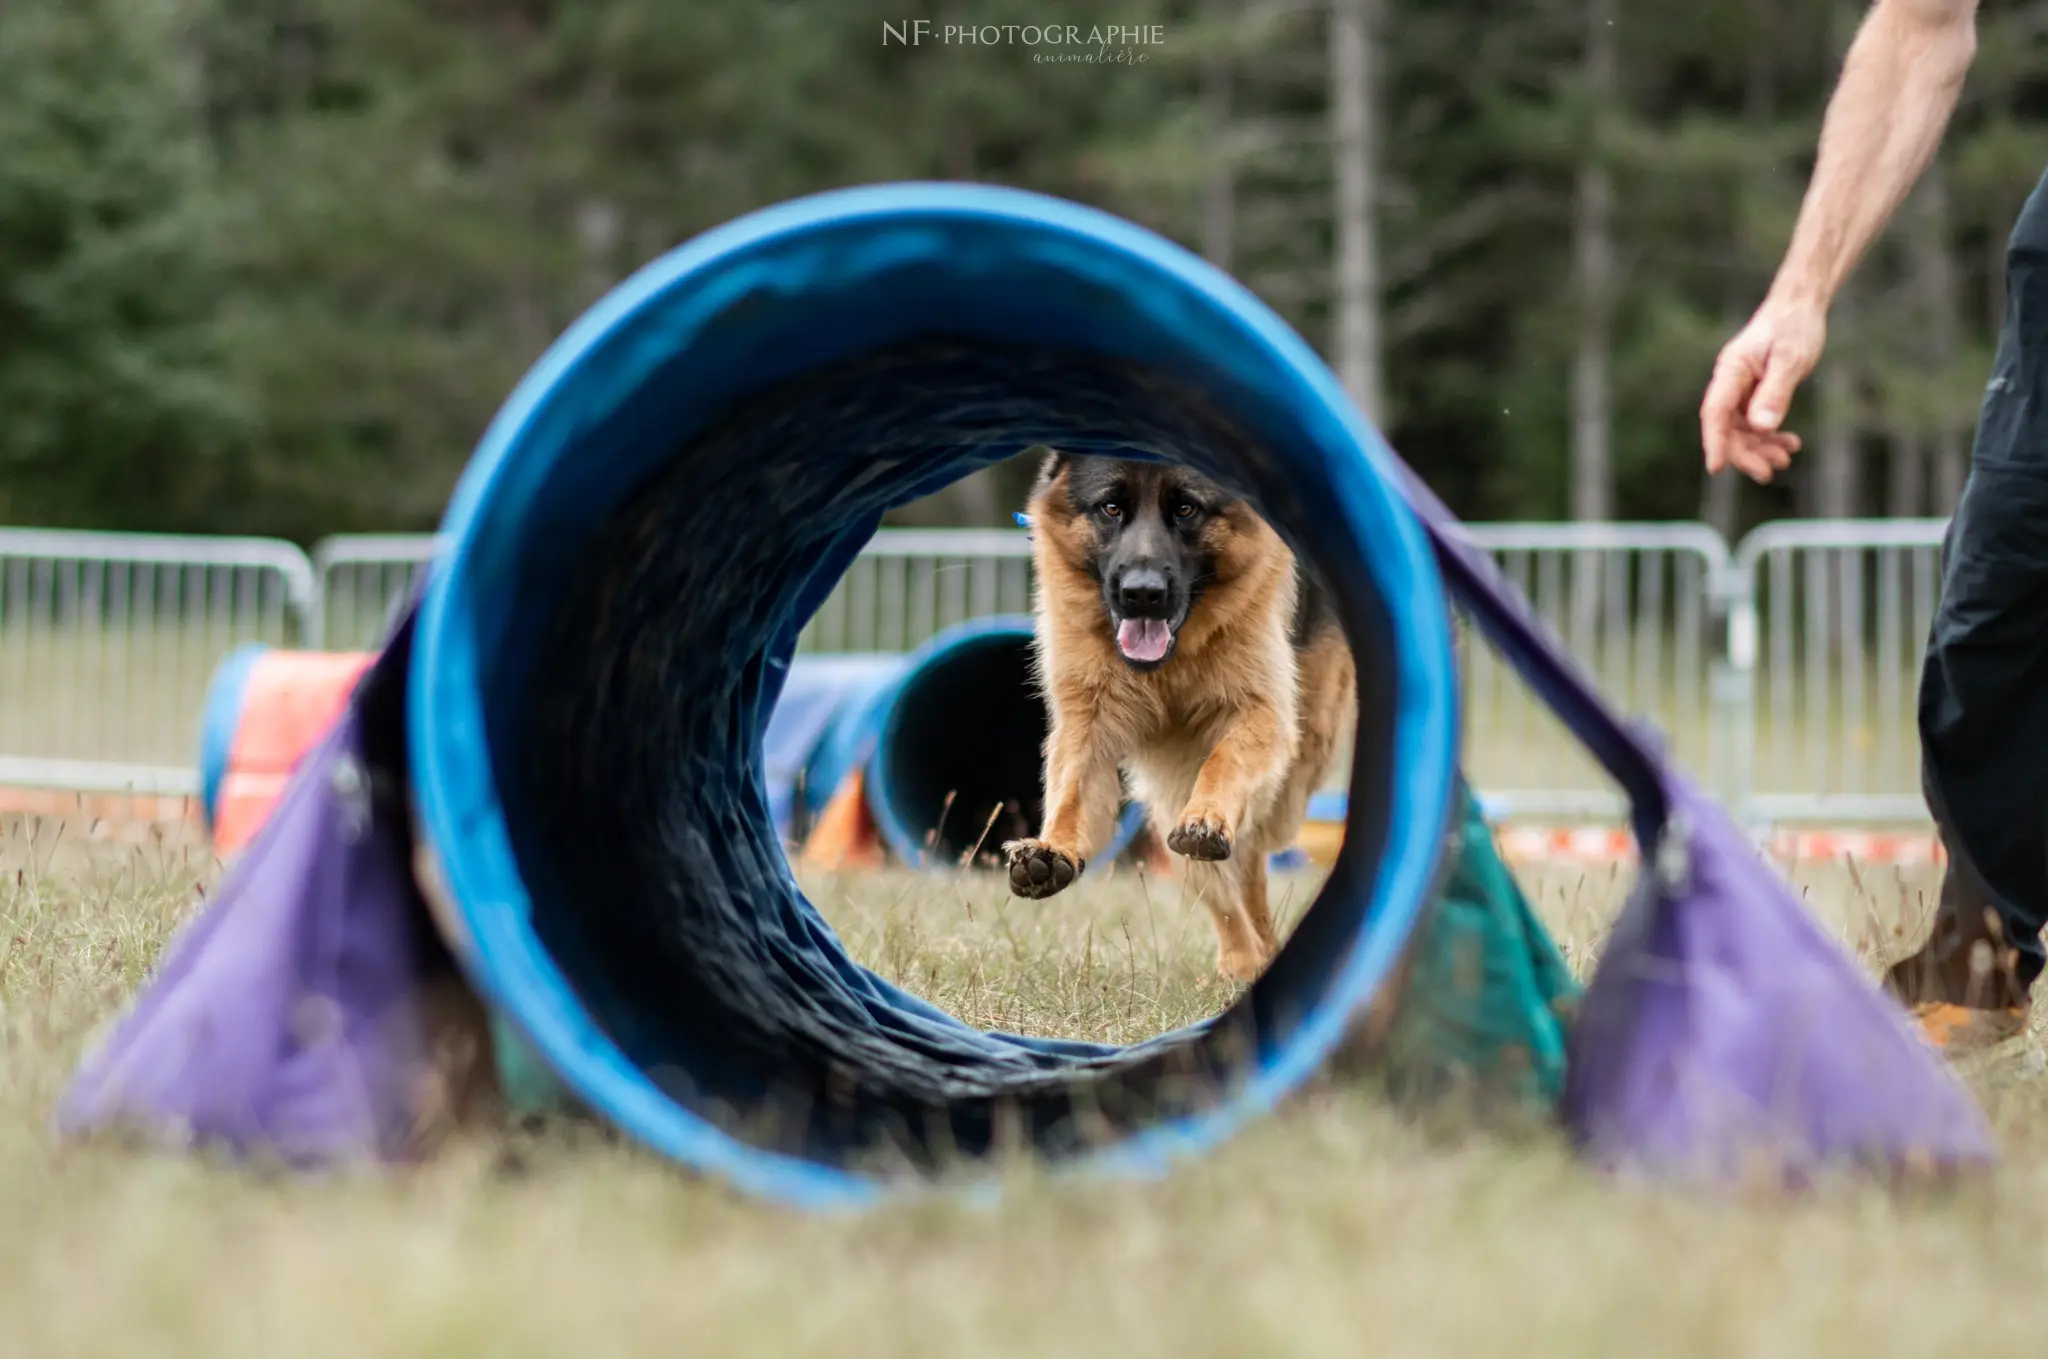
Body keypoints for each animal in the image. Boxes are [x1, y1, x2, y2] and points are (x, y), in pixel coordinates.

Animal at [999, 450, 1351, 982]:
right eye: (1111, 508)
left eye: (1186, 509)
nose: (1141, 594)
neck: (1171, 664)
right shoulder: (1087, 725)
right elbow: (1071, 794)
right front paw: (1051, 848)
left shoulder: (1261, 716)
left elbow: (1224, 762)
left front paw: (1207, 818)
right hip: (1168, 790)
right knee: (1219, 882)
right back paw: (1243, 956)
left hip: (1298, 765)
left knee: (1250, 851)